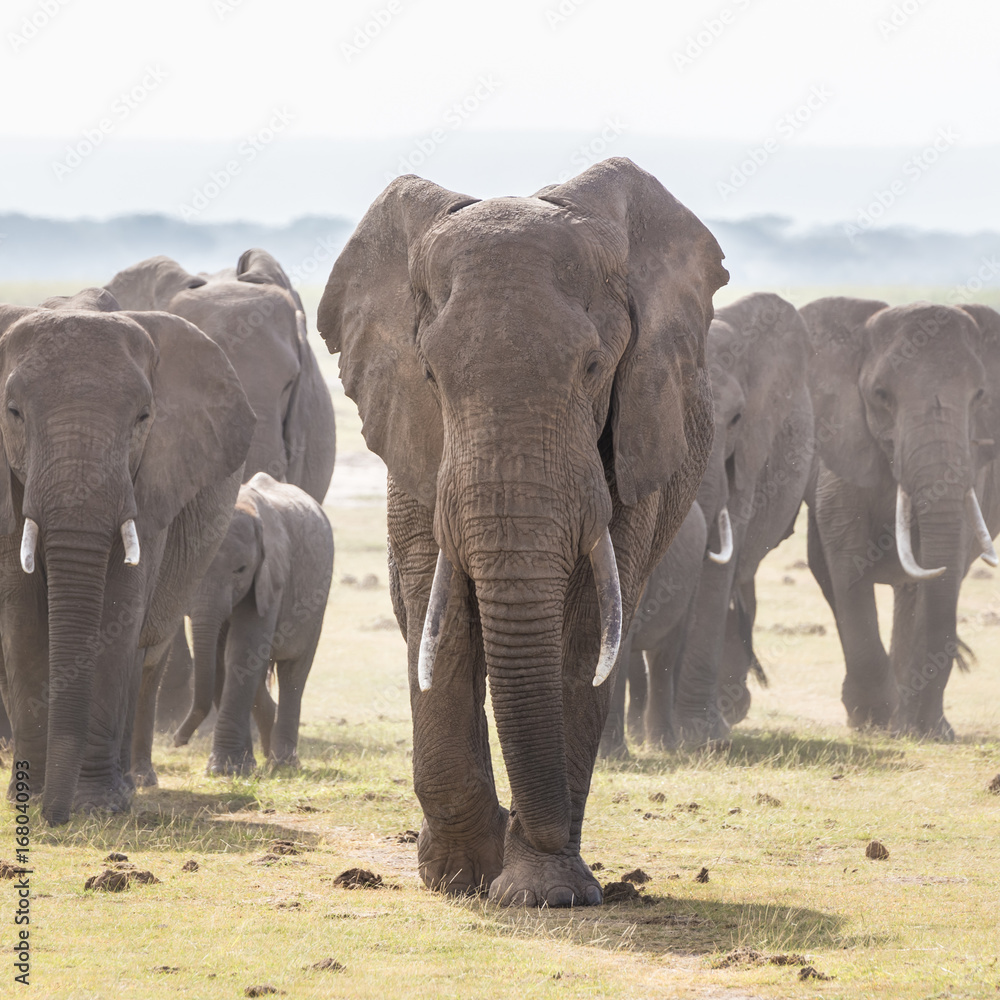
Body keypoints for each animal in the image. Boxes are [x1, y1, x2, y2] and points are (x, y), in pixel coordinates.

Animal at [0, 287, 254, 824]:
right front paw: (30, 798)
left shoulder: (154, 482)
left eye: (143, 418)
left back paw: (126, 789)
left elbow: (117, 614)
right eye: (13, 413)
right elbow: (22, 615)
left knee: (140, 654)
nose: (55, 819)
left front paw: (95, 806)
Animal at [173, 473, 333, 774]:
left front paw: (225, 770)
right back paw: (270, 754)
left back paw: (284, 764)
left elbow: (241, 651)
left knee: (294, 671)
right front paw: (230, 768)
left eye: (241, 570)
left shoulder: (270, 577)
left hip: (317, 599)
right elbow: (222, 658)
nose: (178, 741)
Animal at [318, 157, 728, 906]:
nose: (524, 825)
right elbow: (439, 611)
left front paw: (542, 892)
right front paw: (460, 876)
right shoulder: (415, 443)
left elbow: (586, 627)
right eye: (430, 374)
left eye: (593, 368)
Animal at [802, 298, 1000, 738]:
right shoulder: (842, 439)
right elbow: (847, 552)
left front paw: (928, 731)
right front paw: (871, 719)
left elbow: (948, 557)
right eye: (881, 395)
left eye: (980, 395)